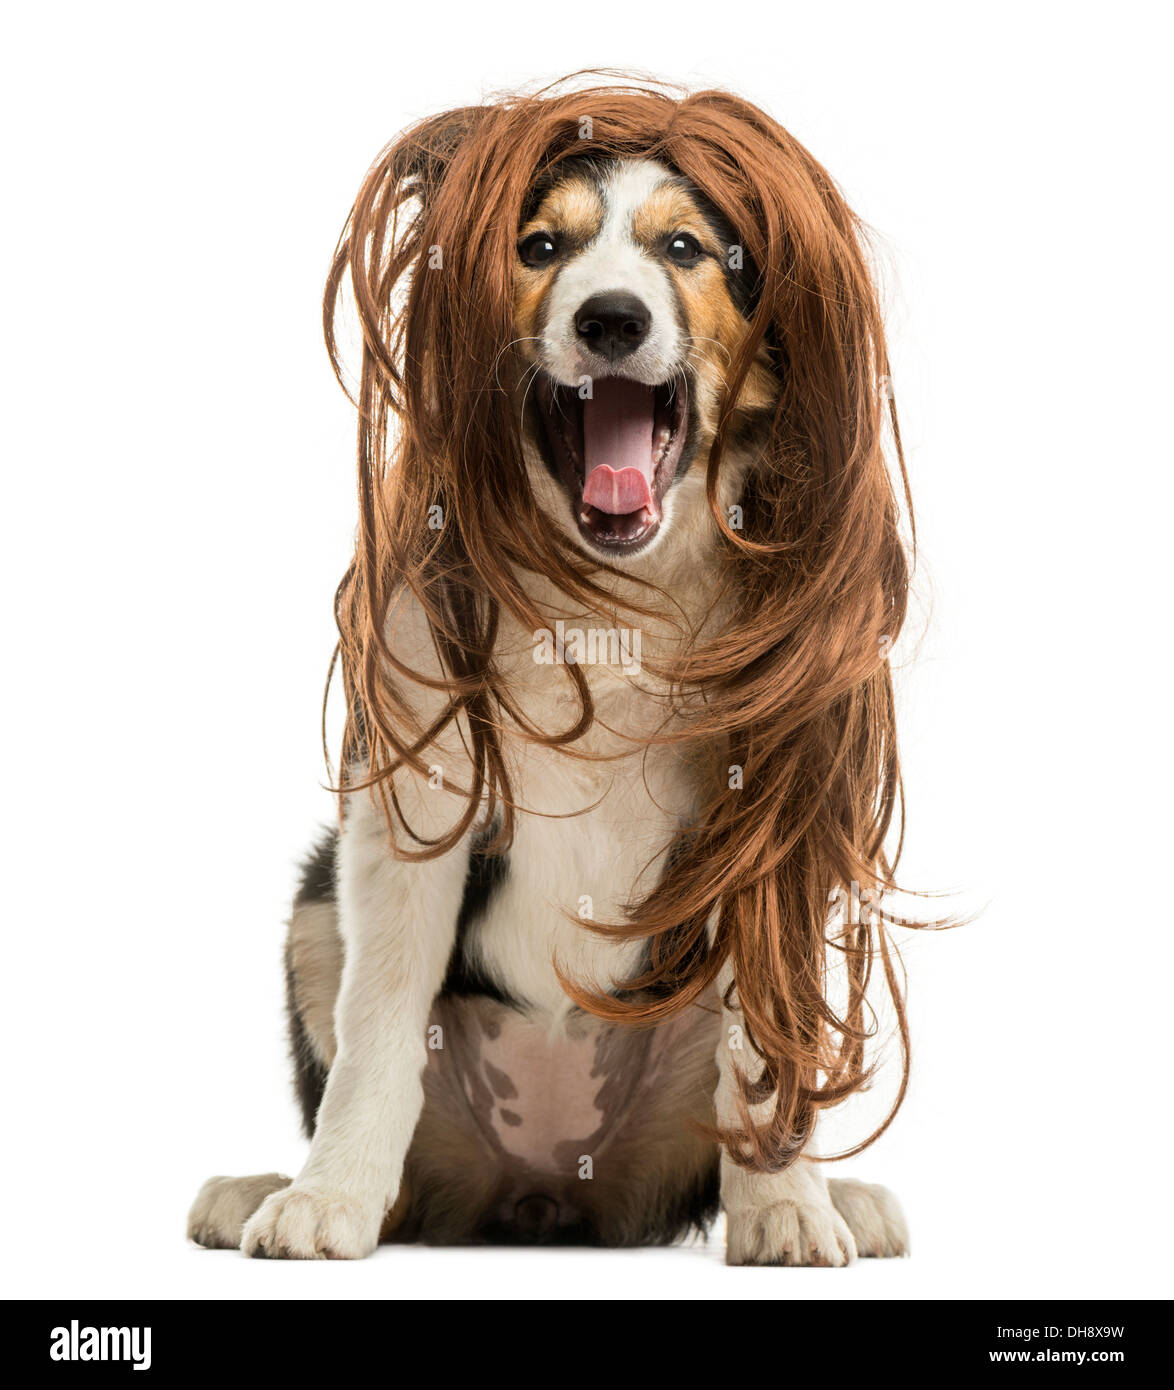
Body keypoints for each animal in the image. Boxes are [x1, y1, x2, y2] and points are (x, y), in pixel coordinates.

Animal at [186, 81, 916, 1267]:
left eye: (683, 248)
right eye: (538, 247)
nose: (610, 320)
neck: (608, 599)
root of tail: (549, 1196)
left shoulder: (777, 800)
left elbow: (769, 1039)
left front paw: (789, 1210)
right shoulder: (411, 779)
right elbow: (376, 1025)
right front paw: (323, 1198)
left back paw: (842, 1194)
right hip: (311, 918)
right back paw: (265, 1185)